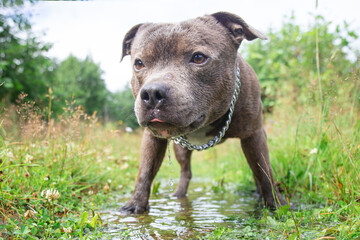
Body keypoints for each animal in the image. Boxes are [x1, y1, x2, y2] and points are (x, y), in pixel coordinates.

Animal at [120, 11, 286, 214]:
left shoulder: (254, 134)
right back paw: (179, 194)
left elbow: (264, 170)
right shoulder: (153, 138)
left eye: (198, 58)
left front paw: (276, 205)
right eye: (139, 63)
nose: (152, 93)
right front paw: (135, 204)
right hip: (181, 149)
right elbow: (145, 171)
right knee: (186, 171)